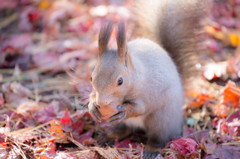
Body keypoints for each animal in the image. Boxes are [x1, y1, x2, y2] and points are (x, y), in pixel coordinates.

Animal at [87, 0, 210, 158]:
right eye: (91, 77)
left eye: (120, 81)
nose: (102, 102)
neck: (136, 76)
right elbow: (92, 95)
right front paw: (92, 106)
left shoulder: (148, 92)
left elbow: (141, 107)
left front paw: (125, 110)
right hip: (123, 123)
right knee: (125, 129)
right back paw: (110, 136)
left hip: (161, 120)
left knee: (158, 138)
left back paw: (152, 150)